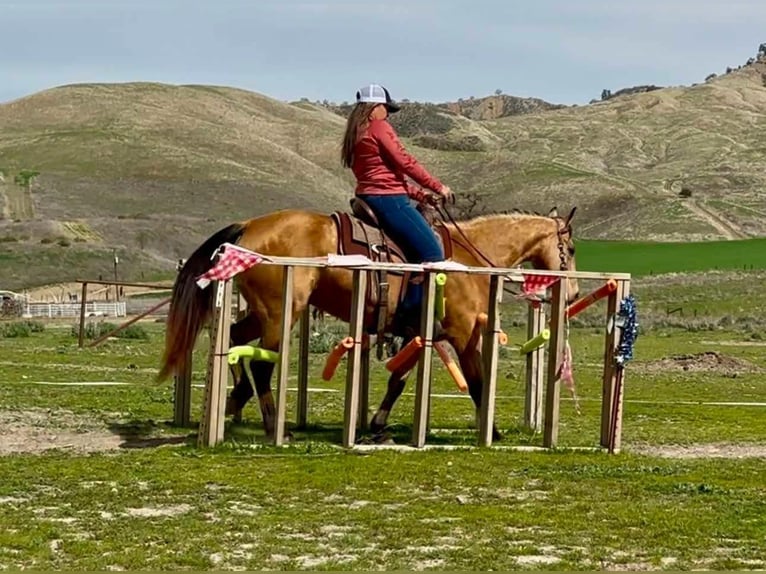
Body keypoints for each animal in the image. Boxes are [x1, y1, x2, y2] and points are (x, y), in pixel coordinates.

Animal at [158, 205, 580, 442]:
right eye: (572, 248)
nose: (574, 292)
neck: (468, 257)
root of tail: (247, 227)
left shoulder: (418, 333)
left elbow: (398, 380)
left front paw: (377, 423)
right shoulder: (462, 335)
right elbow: (476, 383)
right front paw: (491, 432)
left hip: (263, 315)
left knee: (233, 340)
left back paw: (234, 399)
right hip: (281, 313)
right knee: (262, 366)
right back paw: (275, 425)